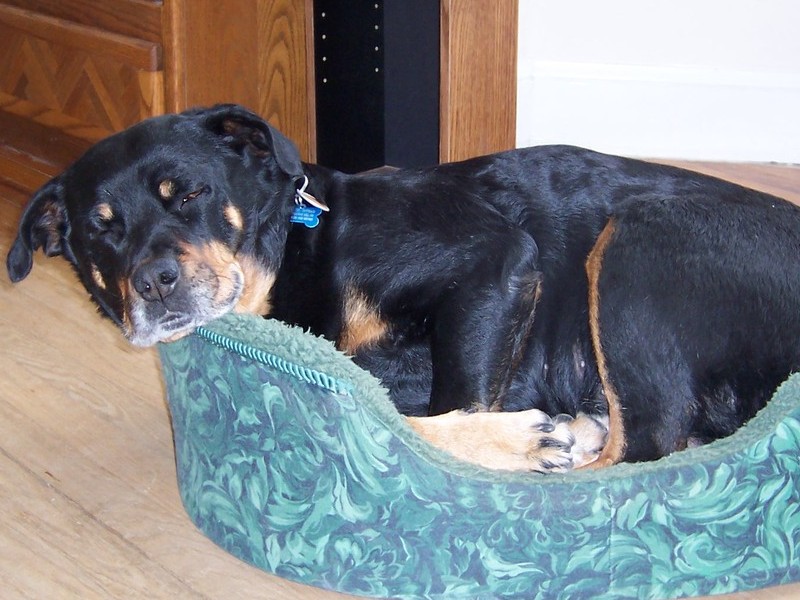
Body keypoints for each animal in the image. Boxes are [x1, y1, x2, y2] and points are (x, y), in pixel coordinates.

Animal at [6, 104, 800, 474]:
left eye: (191, 192)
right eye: (99, 231)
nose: (154, 283)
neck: (301, 241)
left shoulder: (494, 265)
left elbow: (436, 412)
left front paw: (518, 443)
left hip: (638, 239)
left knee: (650, 444)